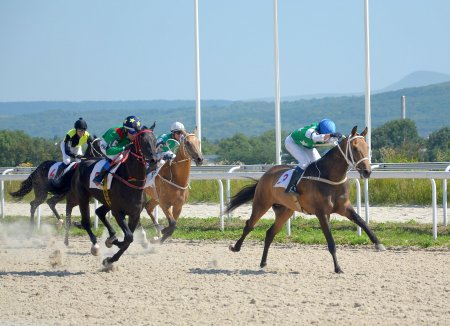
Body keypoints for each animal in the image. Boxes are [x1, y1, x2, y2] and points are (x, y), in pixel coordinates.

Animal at [48, 126, 158, 266]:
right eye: (142, 140)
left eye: (155, 140)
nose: (154, 160)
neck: (132, 181)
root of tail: (79, 164)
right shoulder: (117, 212)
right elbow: (128, 237)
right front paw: (113, 244)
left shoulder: (135, 214)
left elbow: (129, 240)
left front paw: (110, 258)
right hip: (82, 197)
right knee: (85, 221)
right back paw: (95, 245)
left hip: (105, 201)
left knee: (99, 212)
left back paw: (110, 236)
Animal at [227, 126, 384, 274]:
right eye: (355, 148)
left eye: (367, 147)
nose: (367, 172)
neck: (330, 177)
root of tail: (266, 174)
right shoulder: (321, 213)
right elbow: (331, 242)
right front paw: (338, 268)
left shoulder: (344, 207)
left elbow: (362, 221)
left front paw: (378, 243)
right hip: (262, 203)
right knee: (249, 225)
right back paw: (236, 247)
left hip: (286, 211)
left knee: (270, 233)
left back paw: (263, 262)